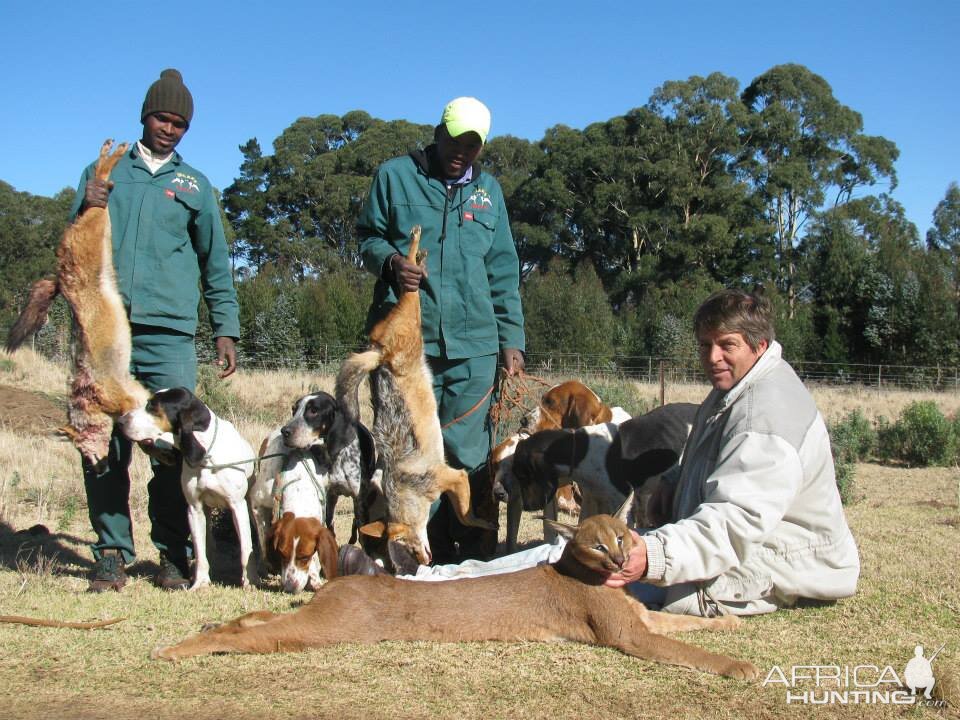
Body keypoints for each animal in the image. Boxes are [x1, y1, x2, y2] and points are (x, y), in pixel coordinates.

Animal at [117, 388, 256, 592]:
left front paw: (249, 581)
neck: (207, 456)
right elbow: (199, 552)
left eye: (153, 406)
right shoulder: (194, 509)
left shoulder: (237, 505)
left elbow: (246, 548)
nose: (120, 422)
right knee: (209, 545)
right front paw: (200, 582)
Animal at [248, 394, 376, 592]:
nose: (286, 431)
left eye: (314, 410)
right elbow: (263, 535)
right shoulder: (257, 503)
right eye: (294, 409)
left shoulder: (358, 500)